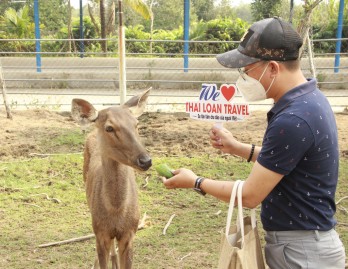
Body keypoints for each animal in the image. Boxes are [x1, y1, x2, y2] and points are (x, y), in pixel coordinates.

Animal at [71, 88, 152, 268]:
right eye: (109, 128)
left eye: (136, 124)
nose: (145, 160)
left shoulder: (130, 233)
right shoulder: (101, 232)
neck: (116, 211)